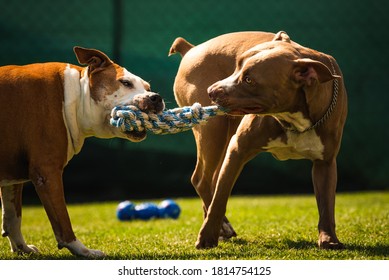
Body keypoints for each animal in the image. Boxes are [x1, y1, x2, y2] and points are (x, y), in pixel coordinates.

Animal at [0, 47, 164, 258]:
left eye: (148, 87)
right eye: (126, 83)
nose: (156, 97)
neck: (74, 96)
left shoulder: (13, 177)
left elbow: (13, 217)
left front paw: (23, 249)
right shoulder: (47, 172)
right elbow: (63, 221)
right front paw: (83, 251)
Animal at [170, 30, 346, 249]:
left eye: (249, 80)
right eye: (236, 66)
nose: (211, 91)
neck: (294, 119)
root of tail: (191, 49)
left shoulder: (325, 163)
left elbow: (326, 204)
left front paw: (329, 238)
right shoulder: (238, 149)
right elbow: (220, 199)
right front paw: (206, 237)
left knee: (212, 180)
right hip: (213, 132)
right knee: (202, 180)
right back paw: (222, 227)